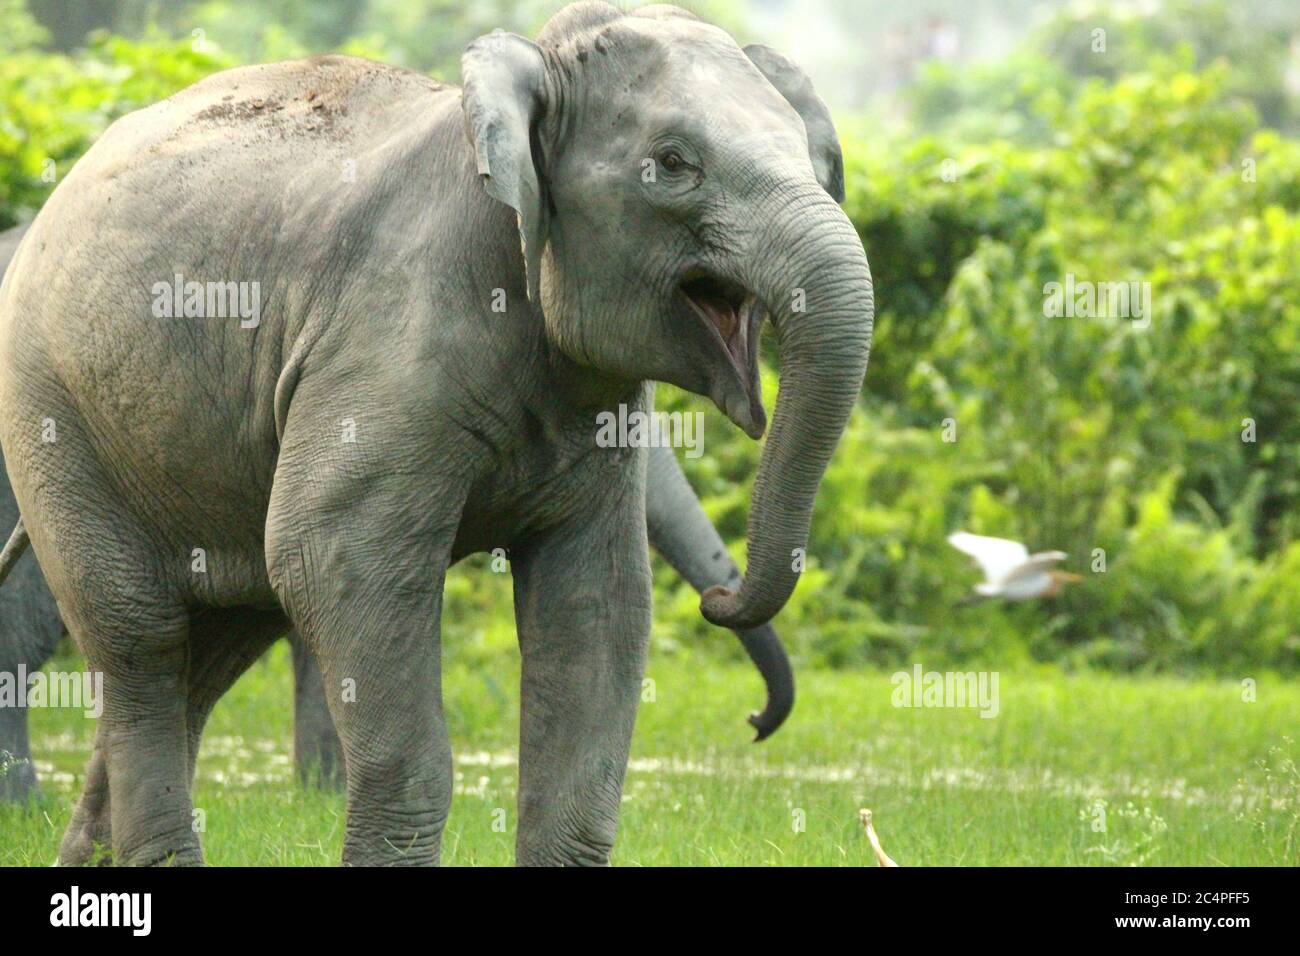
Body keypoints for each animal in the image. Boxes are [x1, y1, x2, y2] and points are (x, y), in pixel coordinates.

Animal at [0, 2, 871, 865]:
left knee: (213, 646)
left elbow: (600, 599)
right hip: (55, 415)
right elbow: (329, 552)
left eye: (810, 157)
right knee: (142, 639)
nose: (722, 600)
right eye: (673, 163)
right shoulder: (382, 343)